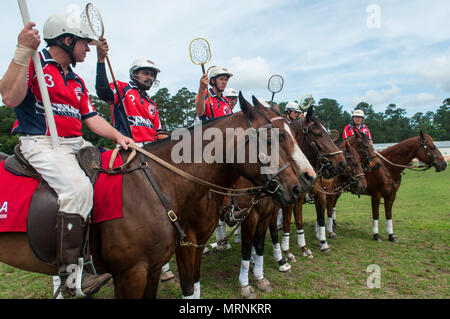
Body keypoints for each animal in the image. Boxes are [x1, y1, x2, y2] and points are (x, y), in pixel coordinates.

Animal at [0, 92, 306, 300]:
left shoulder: (155, 267)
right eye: (275, 138)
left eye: (292, 135)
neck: (158, 185)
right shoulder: (133, 273)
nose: (301, 184)